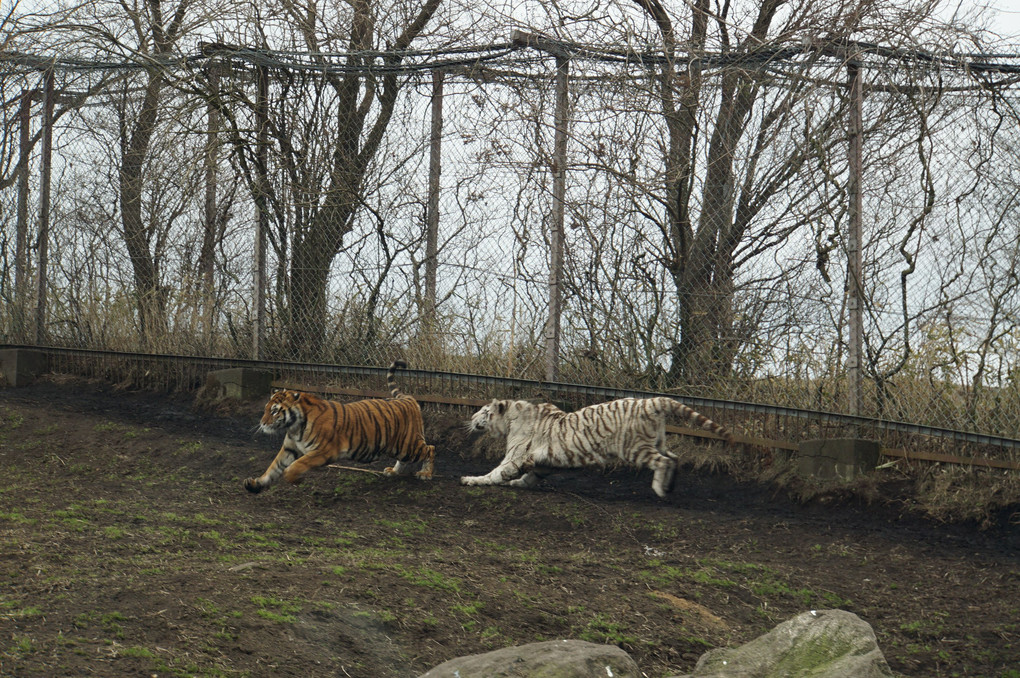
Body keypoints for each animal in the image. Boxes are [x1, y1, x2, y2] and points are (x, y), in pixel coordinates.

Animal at [247, 358, 438, 491]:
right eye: (266, 409)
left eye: (274, 411)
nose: (262, 423)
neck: (295, 426)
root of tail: (407, 398)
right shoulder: (289, 448)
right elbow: (273, 468)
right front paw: (255, 484)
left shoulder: (323, 451)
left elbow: (296, 466)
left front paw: (296, 478)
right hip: (395, 446)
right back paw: (394, 471)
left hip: (407, 445)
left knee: (430, 448)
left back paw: (426, 474)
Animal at [463, 397, 734, 497]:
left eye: (484, 412)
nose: (472, 417)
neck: (510, 418)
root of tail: (652, 401)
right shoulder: (544, 461)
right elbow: (531, 476)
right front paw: (518, 484)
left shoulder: (515, 456)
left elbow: (496, 472)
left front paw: (471, 479)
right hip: (658, 441)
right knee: (674, 457)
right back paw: (670, 486)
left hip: (636, 449)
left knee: (663, 461)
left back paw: (659, 489)